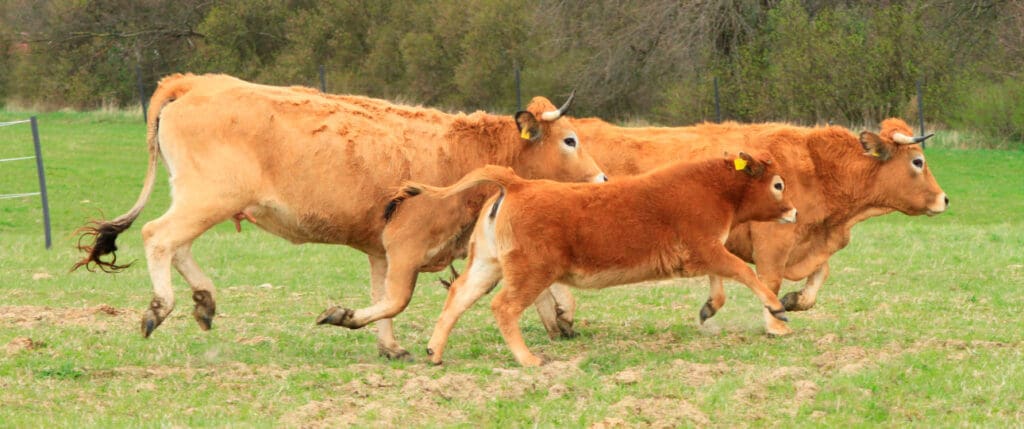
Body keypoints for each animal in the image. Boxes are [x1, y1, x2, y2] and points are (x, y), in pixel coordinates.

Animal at [72, 74, 606, 360]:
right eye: (570, 140)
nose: (602, 179)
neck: (463, 150)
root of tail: (193, 83)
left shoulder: (382, 249)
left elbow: (384, 295)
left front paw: (388, 347)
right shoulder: (407, 244)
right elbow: (396, 299)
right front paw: (347, 318)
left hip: (200, 200)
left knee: (177, 245)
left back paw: (204, 300)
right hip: (207, 200)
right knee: (158, 236)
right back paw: (161, 307)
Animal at [391, 152, 798, 368]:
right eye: (778, 184)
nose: (794, 212)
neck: (714, 188)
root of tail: (519, 184)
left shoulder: (706, 251)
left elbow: (721, 282)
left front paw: (709, 309)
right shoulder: (707, 248)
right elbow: (743, 271)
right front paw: (777, 309)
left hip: (486, 265)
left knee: (459, 295)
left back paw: (435, 351)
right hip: (531, 272)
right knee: (503, 307)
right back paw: (529, 359)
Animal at [540, 117, 946, 339]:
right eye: (918, 161)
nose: (945, 200)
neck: (817, 168)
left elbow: (818, 275)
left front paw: (793, 302)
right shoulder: (774, 242)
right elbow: (770, 280)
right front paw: (776, 323)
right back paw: (561, 315)